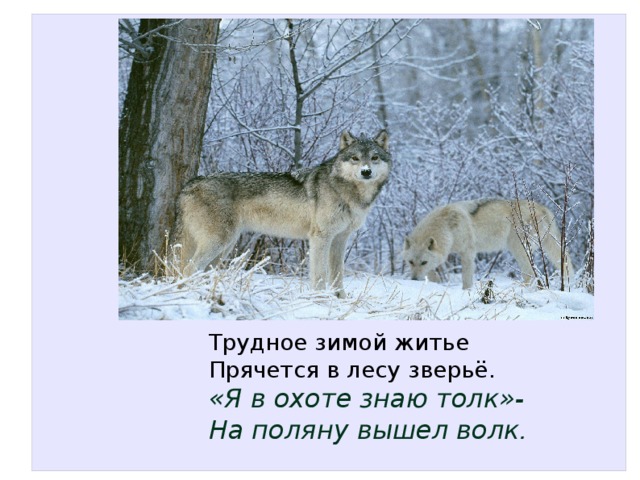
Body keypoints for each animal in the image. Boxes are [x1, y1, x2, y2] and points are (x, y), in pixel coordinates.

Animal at [173, 130, 391, 298]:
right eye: (355, 158)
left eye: (374, 158)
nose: (365, 172)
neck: (347, 192)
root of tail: (189, 185)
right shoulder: (320, 238)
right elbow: (320, 274)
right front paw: (320, 299)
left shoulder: (340, 239)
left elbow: (337, 276)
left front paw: (340, 299)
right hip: (218, 243)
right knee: (188, 268)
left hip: (224, 248)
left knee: (201, 271)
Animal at [402, 198, 574, 289]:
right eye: (410, 262)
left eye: (423, 262)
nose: (414, 280)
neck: (447, 227)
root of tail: (544, 209)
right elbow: (433, 273)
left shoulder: (468, 253)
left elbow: (466, 279)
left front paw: (466, 291)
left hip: (518, 248)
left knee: (530, 273)